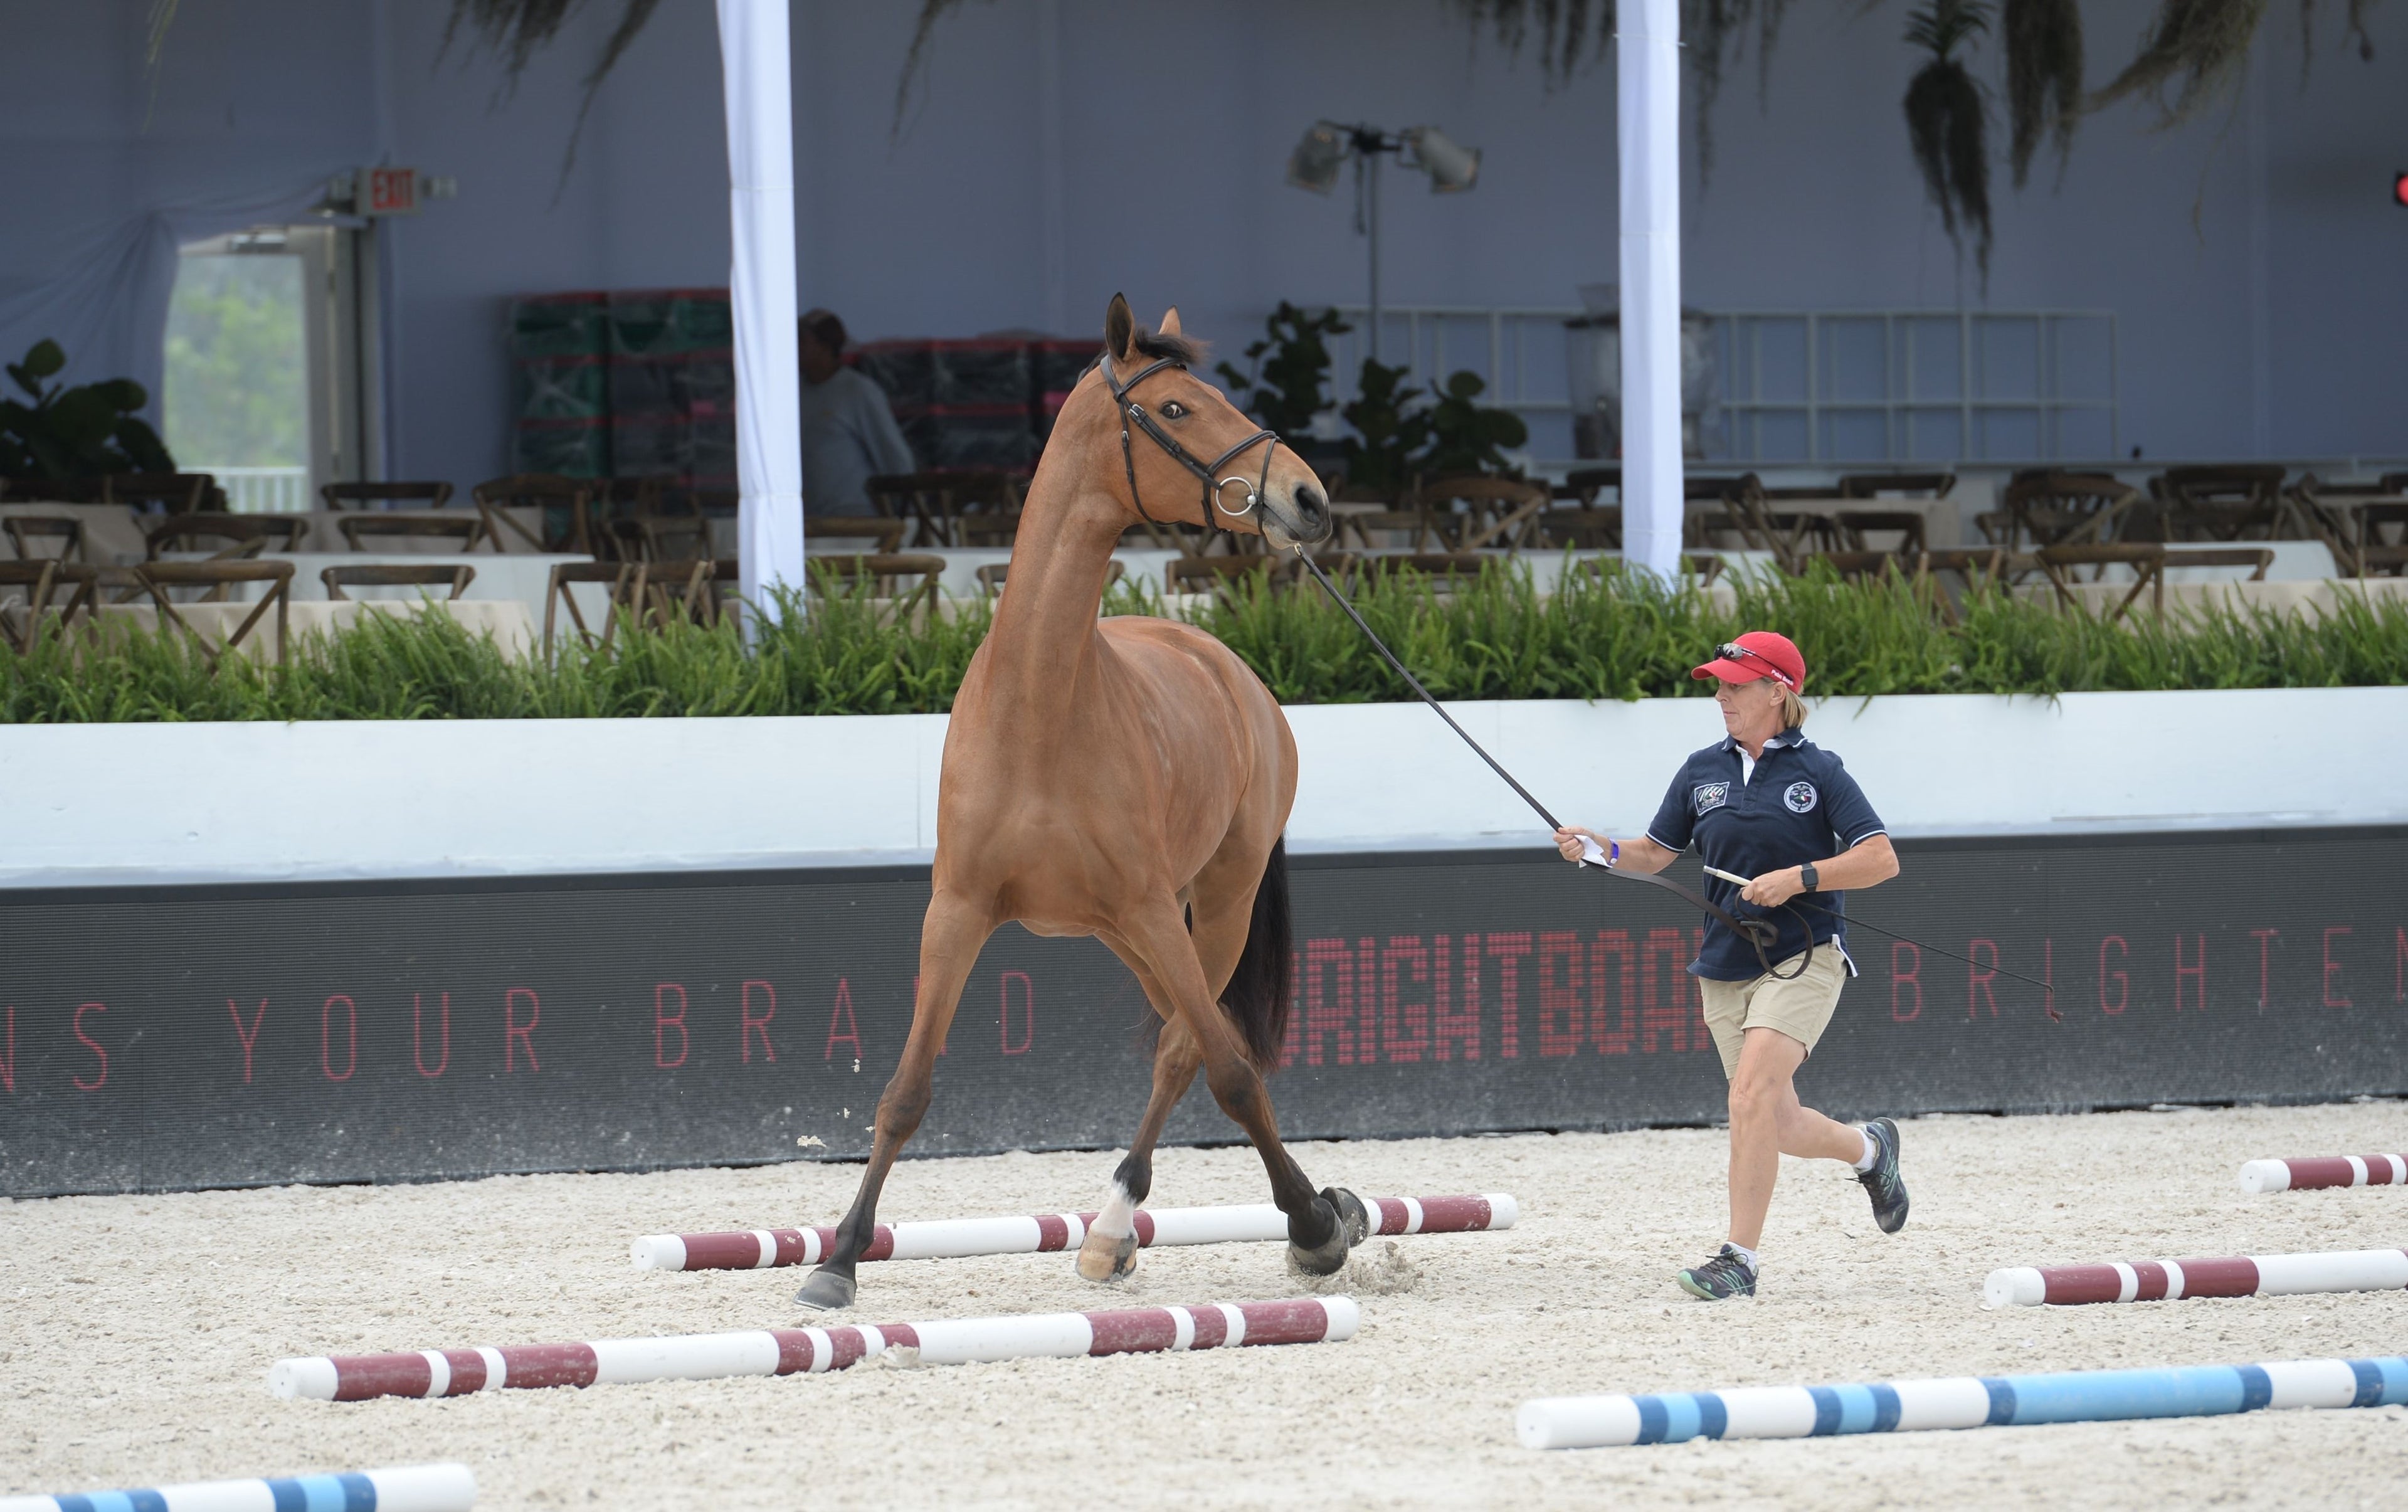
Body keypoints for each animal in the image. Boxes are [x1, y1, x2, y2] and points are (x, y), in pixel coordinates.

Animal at [793, 294, 1356, 1312]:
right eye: (1174, 407)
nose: (1308, 499)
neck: (1040, 706)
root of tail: (1228, 668)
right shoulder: (958, 911)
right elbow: (906, 1089)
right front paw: (838, 1258)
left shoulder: (1153, 908)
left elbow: (1228, 1071)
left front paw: (1314, 1223)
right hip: (1128, 933)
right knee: (1187, 1033)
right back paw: (1116, 1230)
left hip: (1208, 907)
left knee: (1189, 1047)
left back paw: (1120, 1225)